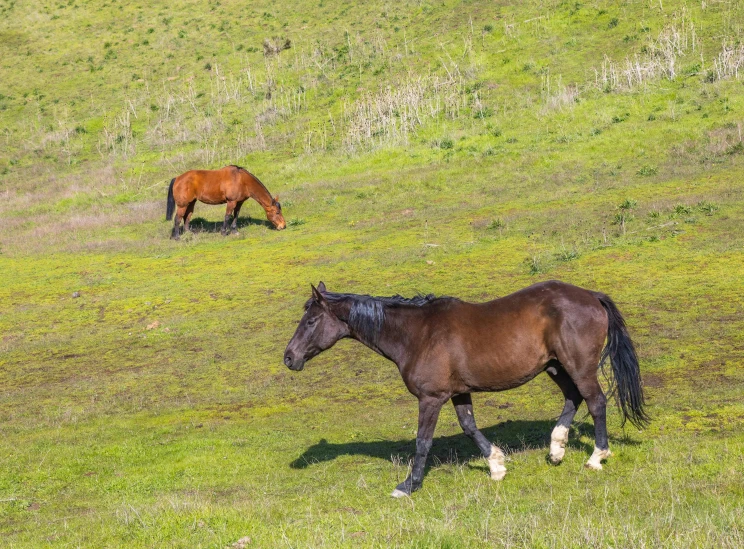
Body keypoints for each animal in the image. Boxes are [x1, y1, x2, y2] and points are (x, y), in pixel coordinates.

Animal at [282, 280, 648, 498]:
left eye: (311, 321)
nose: (289, 358)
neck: (418, 333)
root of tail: (591, 296)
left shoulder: (430, 399)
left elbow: (423, 441)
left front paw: (408, 485)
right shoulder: (458, 393)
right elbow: (469, 427)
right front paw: (496, 465)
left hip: (579, 366)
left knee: (596, 402)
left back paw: (596, 457)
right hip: (556, 366)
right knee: (573, 398)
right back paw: (556, 448)